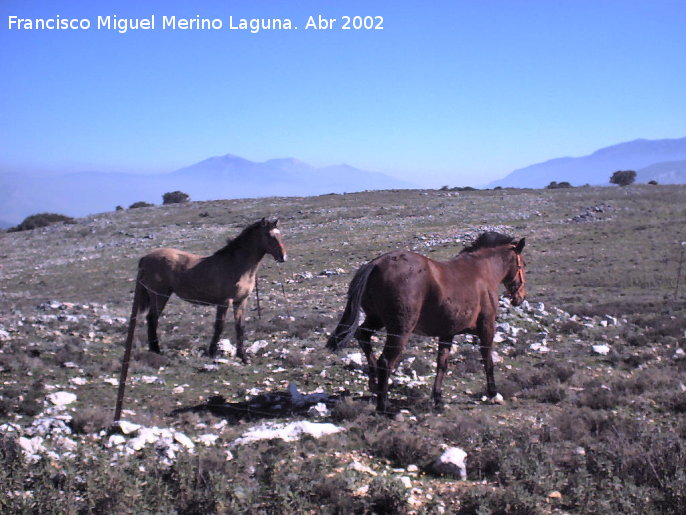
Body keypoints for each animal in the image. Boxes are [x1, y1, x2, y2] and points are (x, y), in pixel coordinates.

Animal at [125, 220, 286, 360]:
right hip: (159, 296)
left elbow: (240, 327)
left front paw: (243, 357)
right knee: (152, 318)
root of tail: (145, 258)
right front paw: (212, 352)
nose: (283, 257)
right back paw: (156, 350)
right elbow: (219, 326)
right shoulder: (224, 302)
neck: (237, 265)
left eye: (280, 234)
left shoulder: (240, 301)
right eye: (270, 236)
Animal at [328, 232, 528, 414]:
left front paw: (438, 399)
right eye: (523, 264)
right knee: (385, 361)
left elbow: (442, 365)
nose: (520, 298)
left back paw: (373, 382)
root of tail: (375, 264)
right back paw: (384, 406)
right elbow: (488, 361)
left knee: (363, 336)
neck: (482, 272)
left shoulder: (447, 333)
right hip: (400, 331)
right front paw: (493, 394)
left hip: (375, 319)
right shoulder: (486, 328)